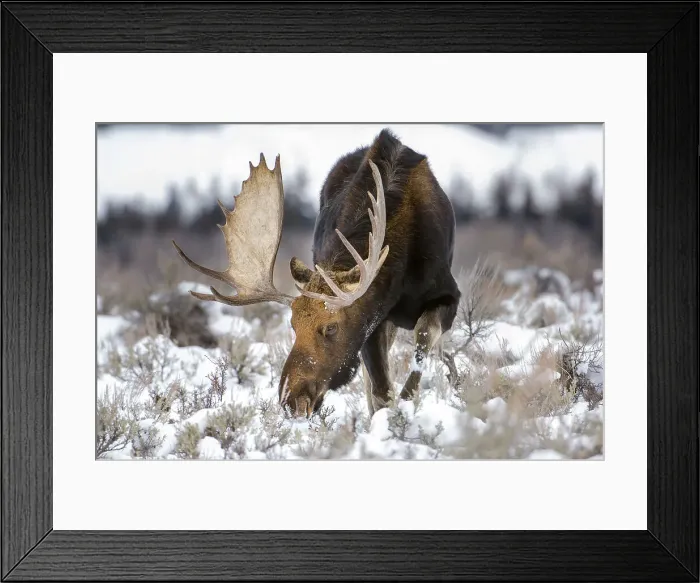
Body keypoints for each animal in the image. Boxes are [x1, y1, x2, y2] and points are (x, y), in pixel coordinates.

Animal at [173, 129, 460, 418]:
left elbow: (423, 340)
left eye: (331, 327)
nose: (291, 399)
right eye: (292, 325)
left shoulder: (447, 294)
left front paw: (409, 404)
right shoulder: (373, 320)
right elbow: (381, 391)